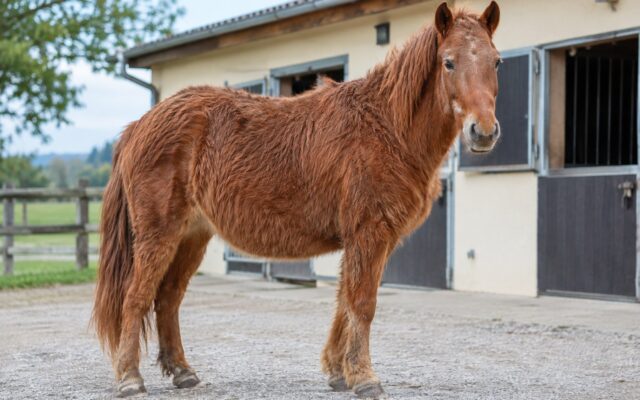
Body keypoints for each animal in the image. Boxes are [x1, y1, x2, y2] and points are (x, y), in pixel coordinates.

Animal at [92, 2, 501, 398]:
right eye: (448, 61)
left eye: (496, 61)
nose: (482, 131)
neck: (386, 128)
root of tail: (140, 125)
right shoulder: (369, 235)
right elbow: (362, 304)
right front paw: (364, 378)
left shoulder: (361, 240)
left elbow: (344, 302)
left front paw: (338, 372)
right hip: (159, 235)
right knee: (136, 297)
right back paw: (129, 378)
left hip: (192, 236)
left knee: (168, 298)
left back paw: (182, 371)